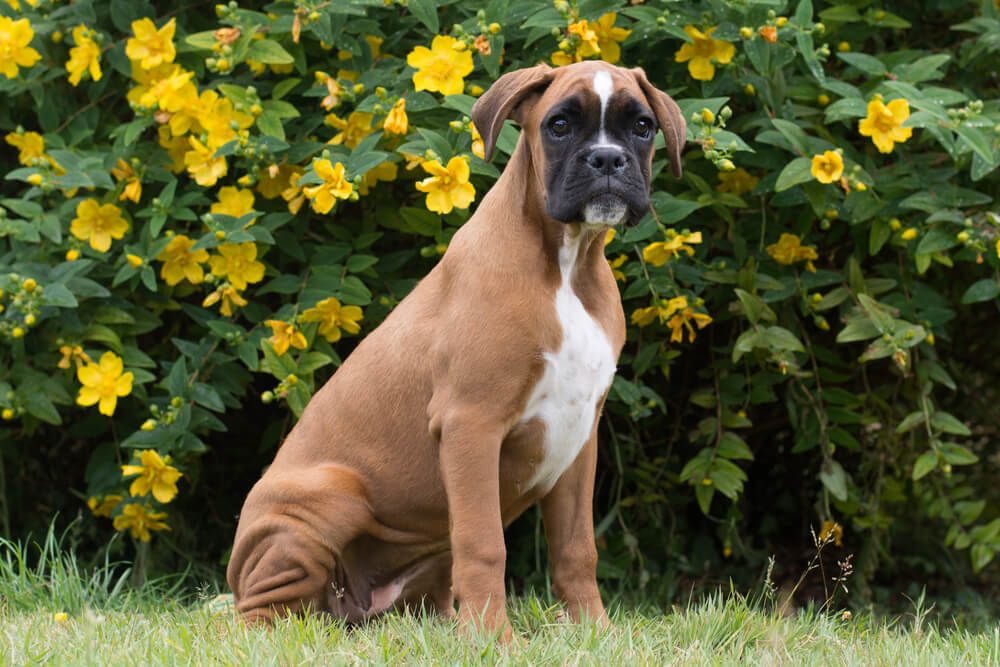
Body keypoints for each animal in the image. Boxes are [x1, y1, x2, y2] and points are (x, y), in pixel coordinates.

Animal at [228, 61, 684, 636]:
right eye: (559, 125)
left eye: (642, 126)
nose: (607, 158)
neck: (566, 264)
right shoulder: (472, 424)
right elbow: (484, 543)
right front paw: (493, 640)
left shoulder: (579, 438)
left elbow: (577, 548)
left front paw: (594, 632)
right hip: (331, 494)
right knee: (261, 610)